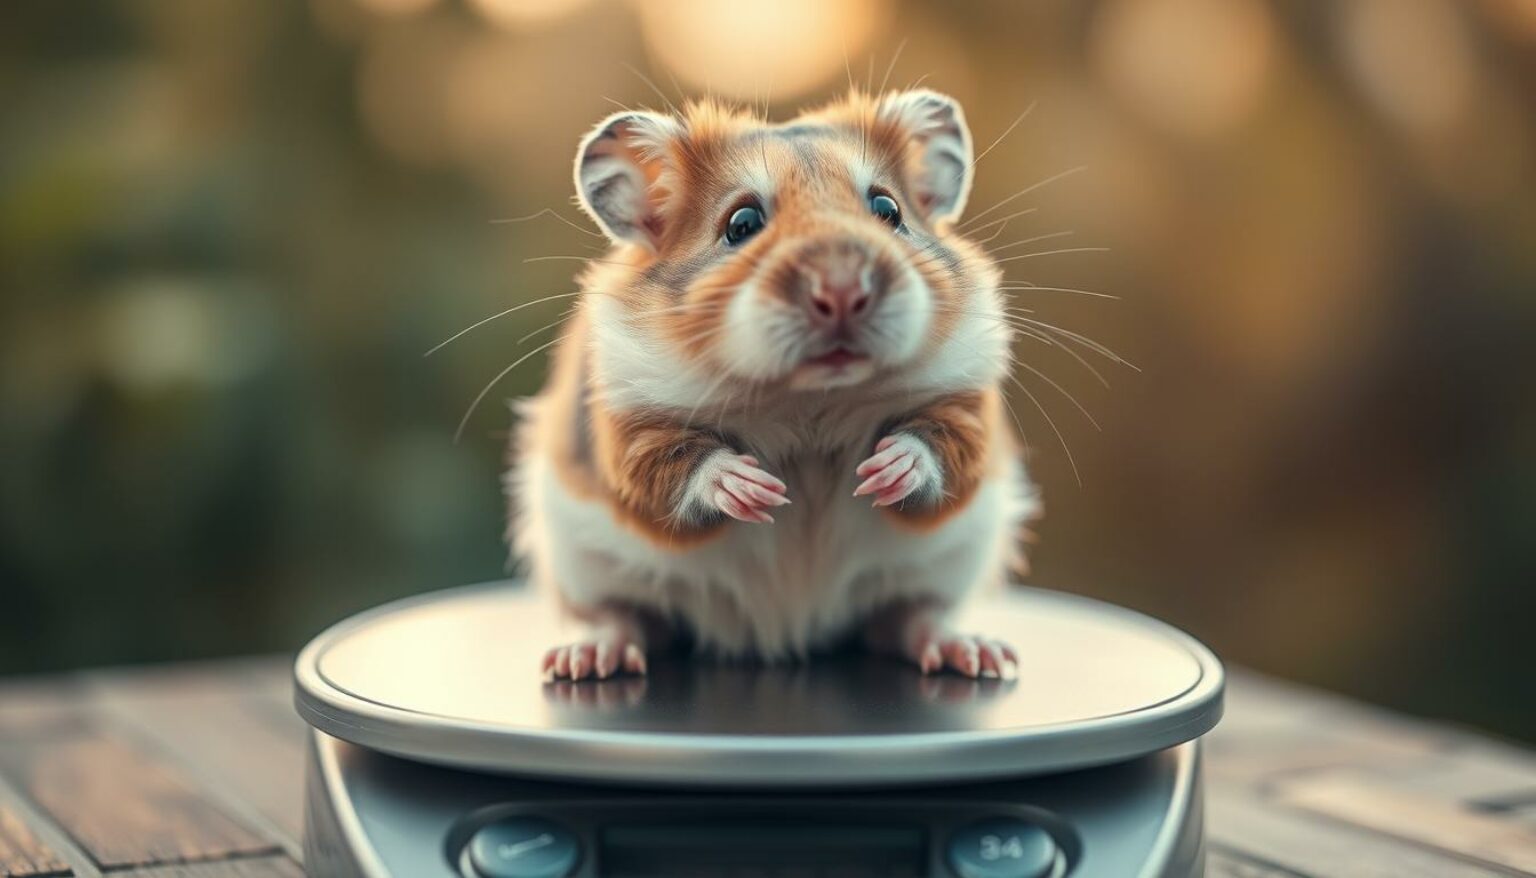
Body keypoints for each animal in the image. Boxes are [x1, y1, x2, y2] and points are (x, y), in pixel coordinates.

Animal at [508, 89, 1039, 681]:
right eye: (741, 223)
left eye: (889, 211)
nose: (842, 292)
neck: (807, 398)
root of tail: (782, 637)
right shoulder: (625, 425)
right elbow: (674, 465)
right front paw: (756, 488)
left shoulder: (967, 403)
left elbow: (941, 444)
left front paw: (883, 470)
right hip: (587, 568)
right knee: (628, 617)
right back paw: (587, 658)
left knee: (905, 617)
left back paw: (975, 652)